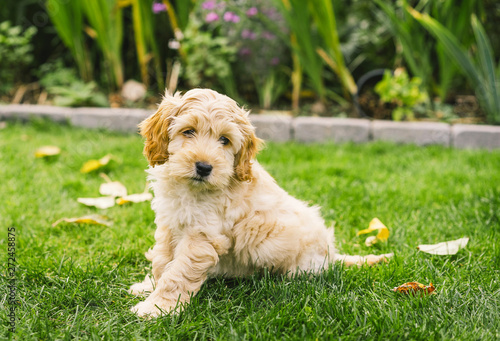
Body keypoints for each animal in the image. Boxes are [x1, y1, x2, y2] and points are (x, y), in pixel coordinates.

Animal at [128, 87, 390, 316]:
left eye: (224, 140)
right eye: (189, 131)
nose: (204, 167)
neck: (191, 189)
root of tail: (333, 255)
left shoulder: (203, 236)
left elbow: (178, 273)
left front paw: (157, 308)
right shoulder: (169, 223)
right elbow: (162, 260)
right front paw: (149, 287)